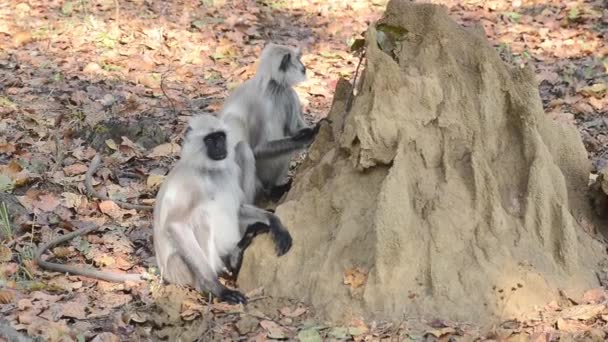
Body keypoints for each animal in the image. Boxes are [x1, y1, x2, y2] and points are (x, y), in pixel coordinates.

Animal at [154, 113, 292, 304]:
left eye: (220, 137)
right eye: (210, 140)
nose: (220, 146)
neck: (209, 171)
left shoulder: (229, 172)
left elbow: (238, 208)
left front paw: (276, 224)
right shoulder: (187, 182)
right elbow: (176, 225)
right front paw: (216, 287)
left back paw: (236, 254)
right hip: (177, 268)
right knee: (201, 216)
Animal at [221, 42, 330, 200]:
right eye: (298, 59)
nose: (304, 66)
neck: (273, 89)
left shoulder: (288, 93)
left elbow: (294, 129)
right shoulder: (260, 106)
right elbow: (258, 148)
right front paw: (310, 135)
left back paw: (274, 189)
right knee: (244, 150)